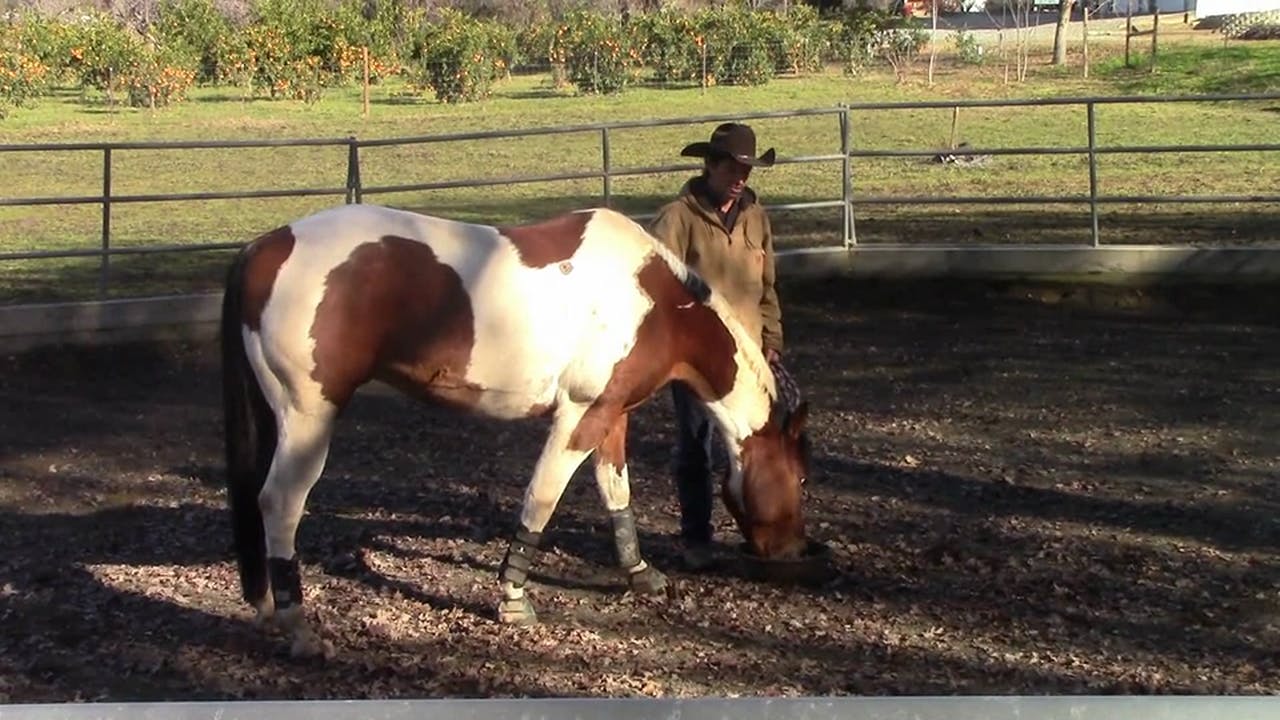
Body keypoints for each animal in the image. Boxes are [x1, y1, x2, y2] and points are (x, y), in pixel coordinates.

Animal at [220, 202, 812, 659]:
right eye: (802, 477)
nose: (793, 551)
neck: (653, 298)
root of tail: (264, 248)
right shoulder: (579, 416)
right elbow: (541, 499)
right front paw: (512, 599)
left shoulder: (612, 415)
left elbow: (616, 493)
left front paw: (640, 573)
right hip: (309, 418)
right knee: (280, 503)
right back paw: (299, 629)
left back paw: (269, 605)